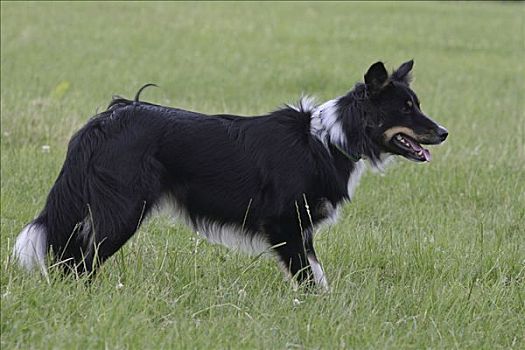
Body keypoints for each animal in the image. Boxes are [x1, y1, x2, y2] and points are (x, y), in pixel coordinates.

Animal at [12, 60, 446, 290]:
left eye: (417, 104)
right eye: (406, 108)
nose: (444, 132)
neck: (329, 139)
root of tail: (104, 120)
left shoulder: (302, 229)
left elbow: (318, 275)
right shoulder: (286, 224)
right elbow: (308, 277)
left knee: (70, 257)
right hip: (123, 211)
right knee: (82, 262)